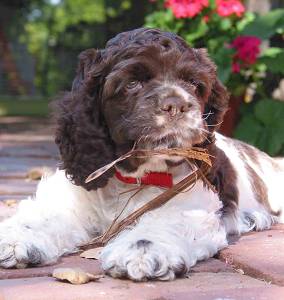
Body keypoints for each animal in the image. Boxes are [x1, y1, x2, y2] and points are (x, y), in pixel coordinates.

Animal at [0, 28, 284, 282]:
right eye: (132, 83)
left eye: (194, 84)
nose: (176, 105)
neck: (133, 177)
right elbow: (43, 214)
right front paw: (16, 238)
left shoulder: (191, 202)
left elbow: (166, 220)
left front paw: (142, 250)